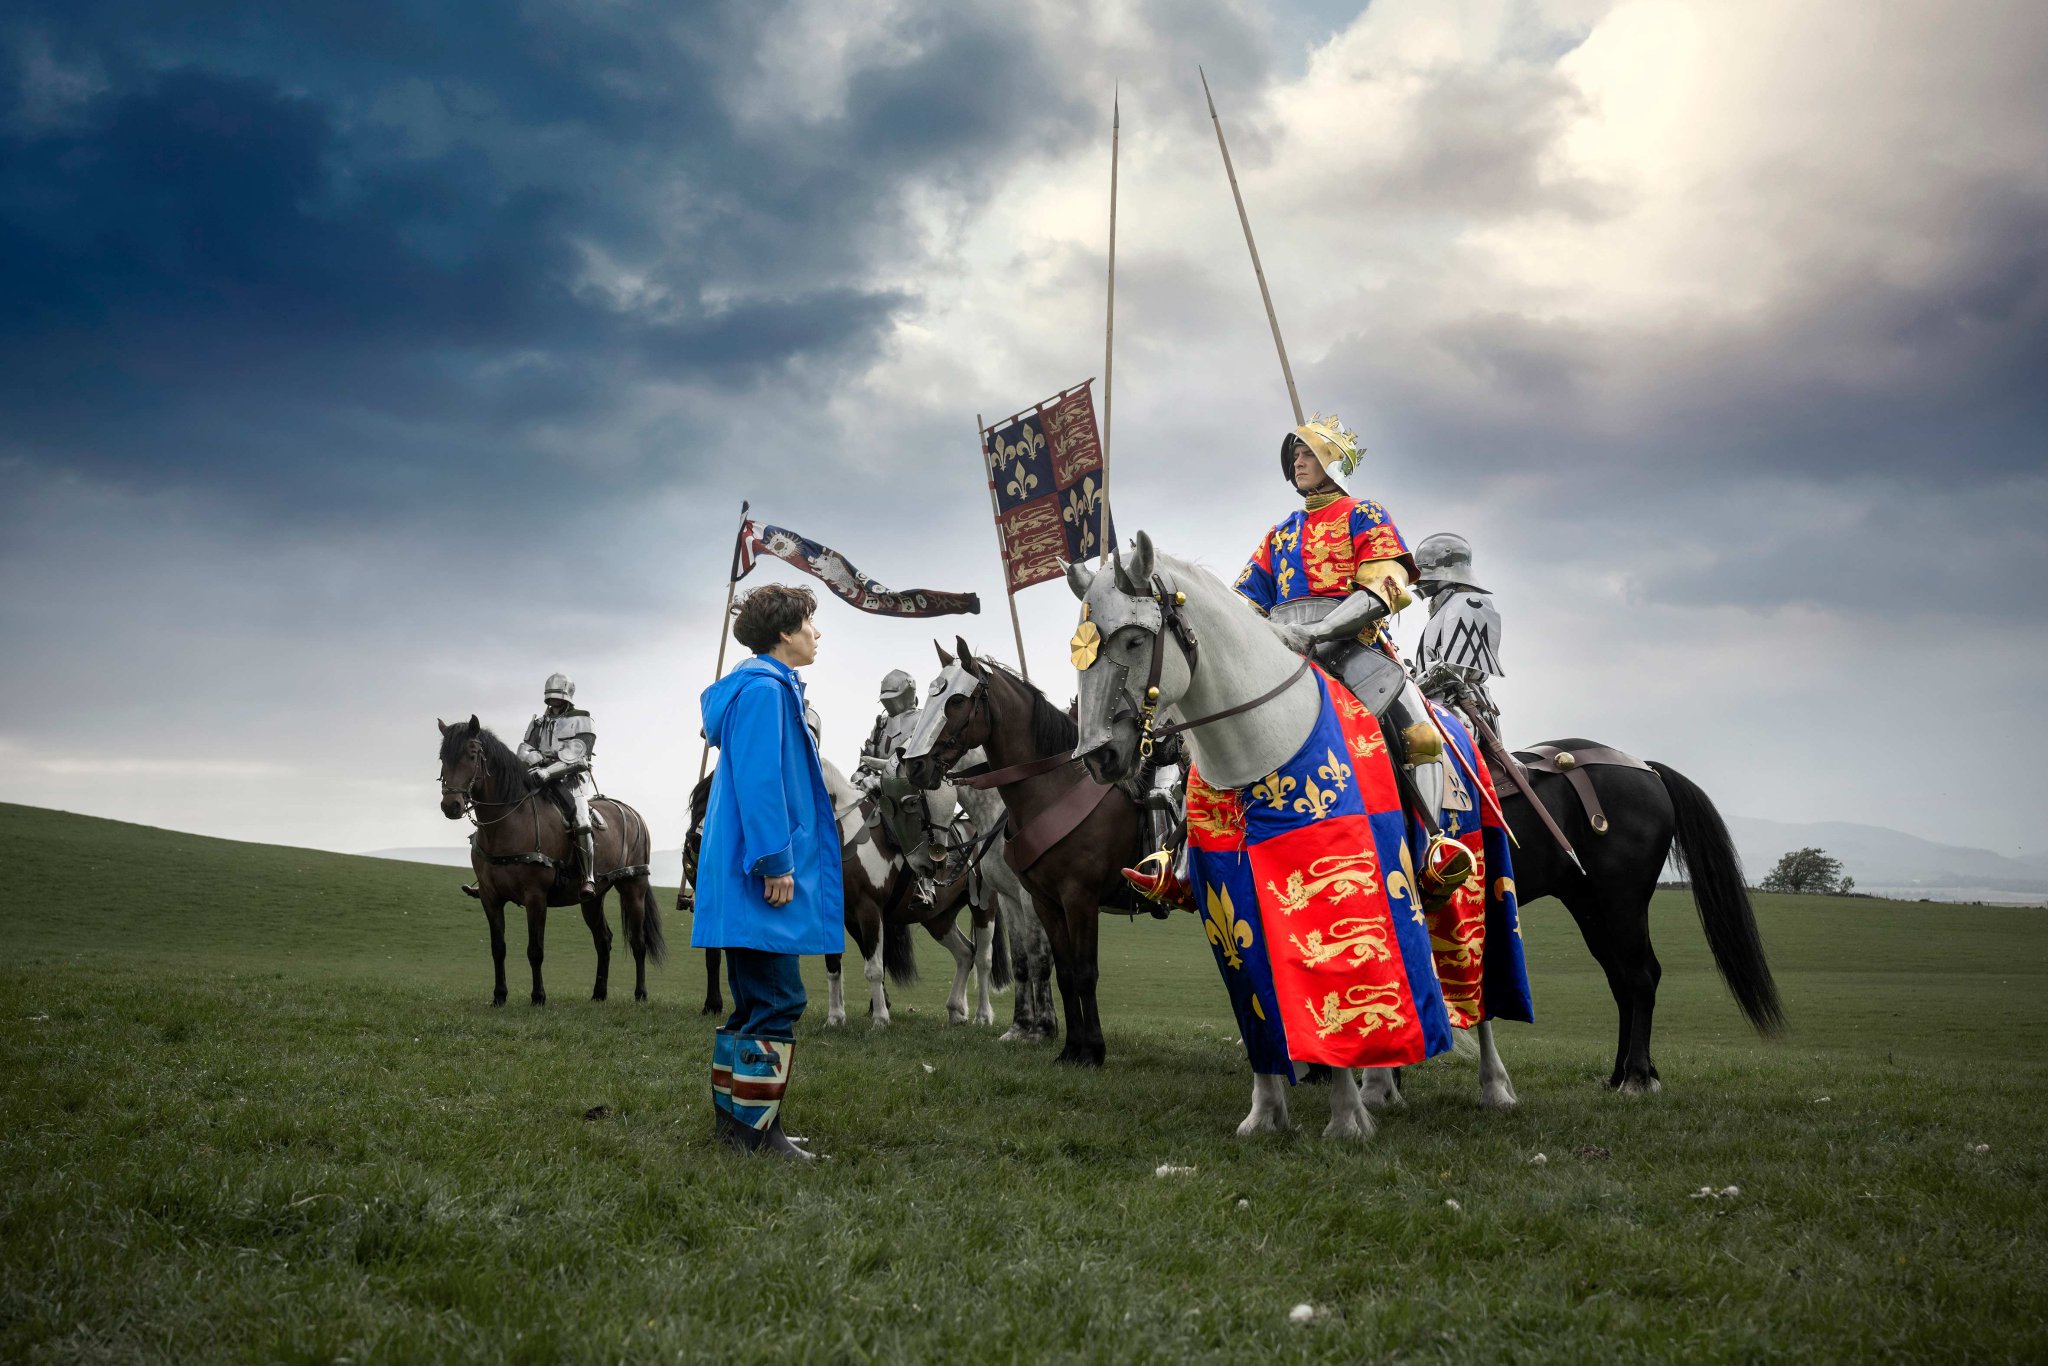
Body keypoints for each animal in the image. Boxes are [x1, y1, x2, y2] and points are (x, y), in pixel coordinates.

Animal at [438, 716, 663, 1003]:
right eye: (443, 756)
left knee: (638, 942)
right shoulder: (490, 897)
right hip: (593, 898)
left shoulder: (535, 897)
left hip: (633, 887)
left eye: (472, 754)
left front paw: (538, 997)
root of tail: (634, 814)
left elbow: (535, 950)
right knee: (603, 940)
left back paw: (640, 994)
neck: (509, 823)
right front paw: (499, 996)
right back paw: (598, 994)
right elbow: (498, 948)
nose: (451, 806)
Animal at [1064, 532, 1515, 1146]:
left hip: (1470, 881)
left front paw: (1345, 1121)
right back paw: (1381, 1086)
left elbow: (1329, 990)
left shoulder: (1333, 890)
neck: (1261, 745)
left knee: (1478, 984)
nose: (1098, 756)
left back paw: (1494, 1087)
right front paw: (1266, 1114)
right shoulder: (1229, 902)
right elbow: (1257, 1000)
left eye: (1134, 640)